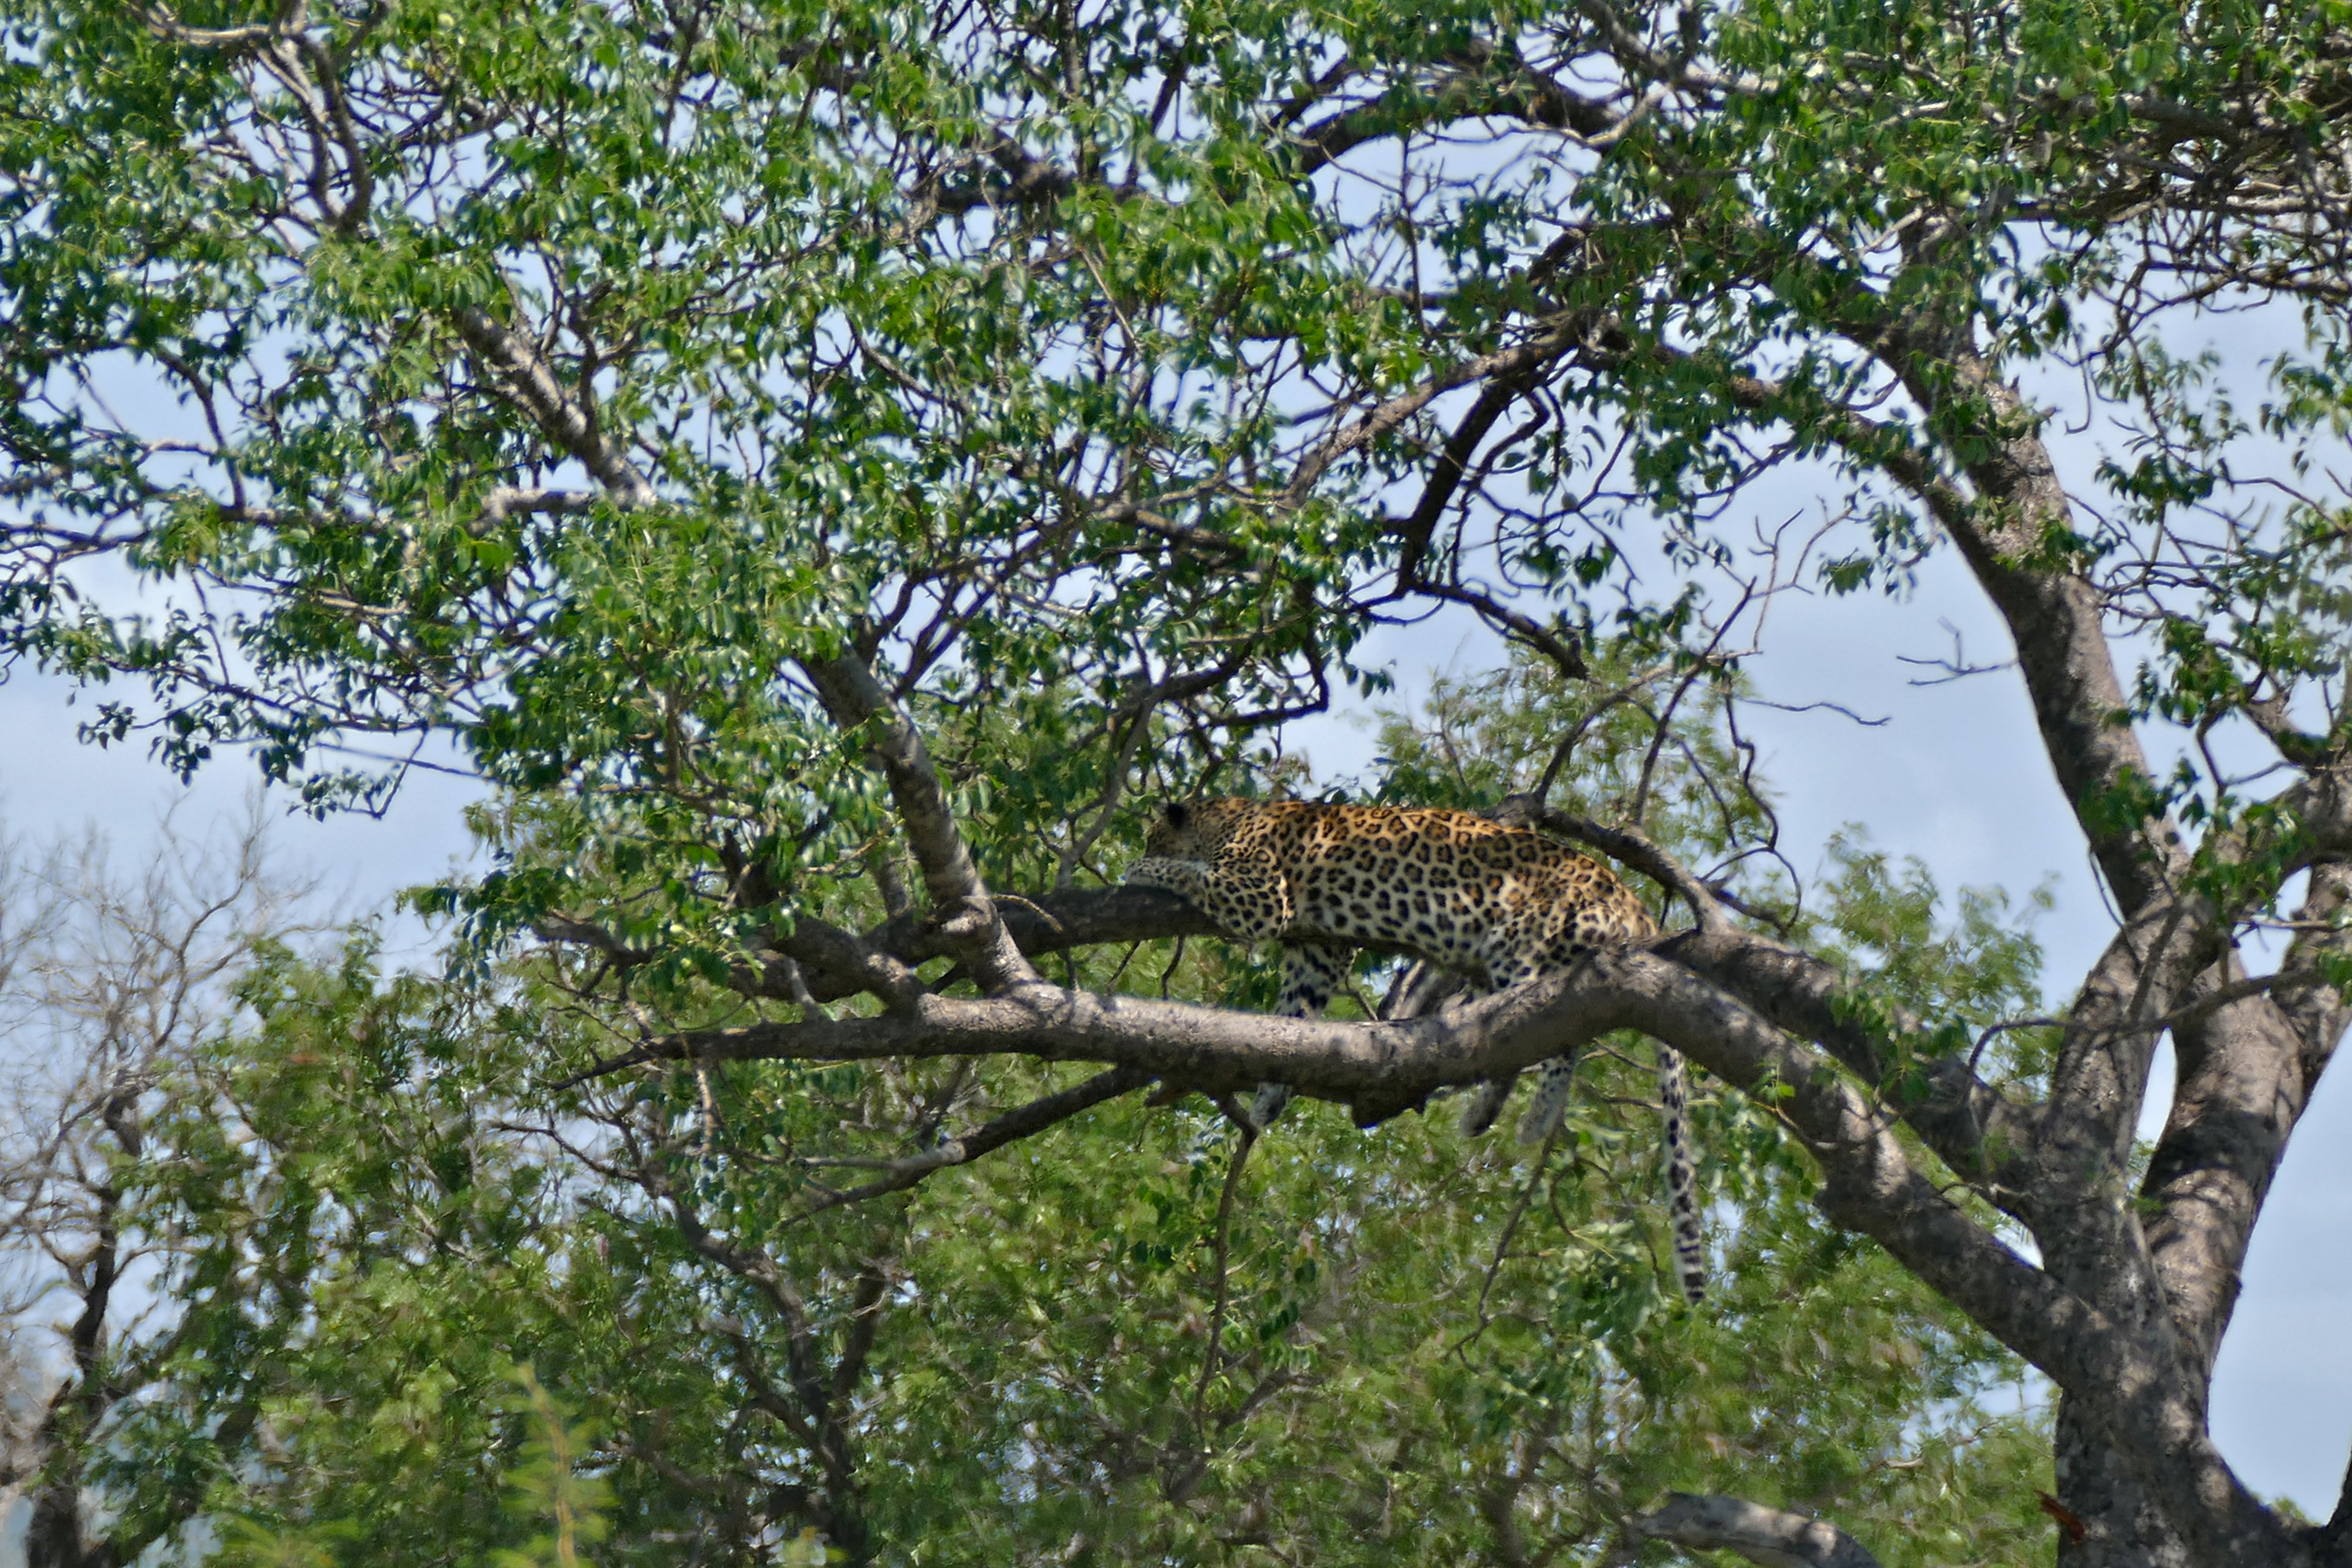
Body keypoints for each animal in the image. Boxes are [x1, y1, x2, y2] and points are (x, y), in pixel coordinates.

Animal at [1129, 804, 1703, 1307]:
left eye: (1153, 837)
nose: (1144, 847)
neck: (1225, 819)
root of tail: (1635, 902)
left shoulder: (1261, 896)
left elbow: (1194, 876)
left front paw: (1141, 868)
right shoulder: (1320, 949)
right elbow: (1296, 1008)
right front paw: (1273, 1088)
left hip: (1517, 941)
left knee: (1527, 1026)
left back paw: (1497, 1100)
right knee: (1558, 1033)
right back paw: (1516, 1110)